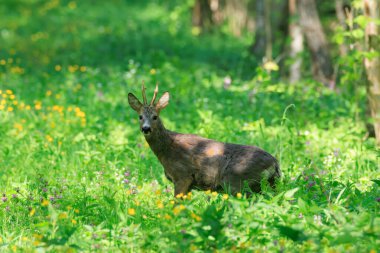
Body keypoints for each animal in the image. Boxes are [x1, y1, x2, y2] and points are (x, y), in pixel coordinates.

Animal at [129, 84, 280, 197]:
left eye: (155, 116)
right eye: (140, 116)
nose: (146, 128)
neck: (167, 149)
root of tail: (274, 163)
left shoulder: (183, 176)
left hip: (238, 182)